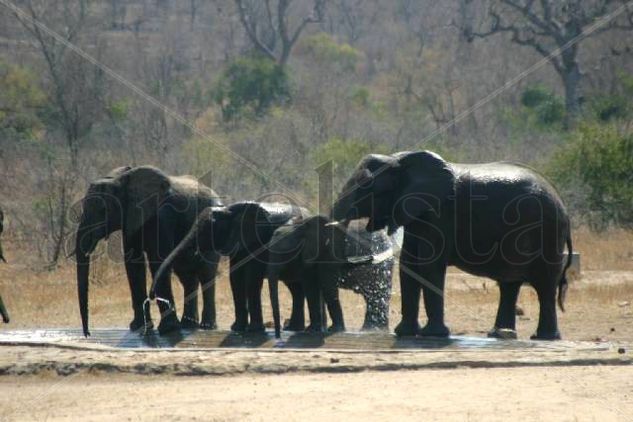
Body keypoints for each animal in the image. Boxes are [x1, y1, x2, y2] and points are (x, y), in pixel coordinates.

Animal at [75, 166, 222, 336]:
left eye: (102, 210)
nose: (87, 333)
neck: (121, 180)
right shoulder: (130, 219)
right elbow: (133, 264)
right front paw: (139, 327)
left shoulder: (163, 217)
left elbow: (157, 260)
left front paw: (168, 329)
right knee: (187, 276)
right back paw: (188, 325)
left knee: (206, 272)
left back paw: (207, 326)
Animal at [149, 201, 304, 332]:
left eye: (208, 229)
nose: (151, 296)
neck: (229, 210)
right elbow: (235, 277)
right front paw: (237, 329)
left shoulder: (258, 241)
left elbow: (252, 277)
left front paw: (254, 331)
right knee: (295, 288)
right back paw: (293, 328)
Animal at [266, 216, 396, 338]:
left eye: (284, 254)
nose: (278, 336)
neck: (300, 228)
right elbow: (310, 288)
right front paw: (313, 330)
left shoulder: (329, 255)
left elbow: (326, 287)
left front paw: (334, 330)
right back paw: (371, 330)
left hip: (381, 266)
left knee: (376, 293)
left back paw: (372, 330)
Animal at [330, 150, 572, 342]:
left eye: (366, 185)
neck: (400, 159)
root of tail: (563, 204)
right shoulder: (416, 214)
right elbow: (409, 266)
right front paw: (405, 333)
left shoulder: (440, 213)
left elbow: (429, 266)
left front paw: (433, 335)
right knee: (509, 283)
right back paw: (499, 334)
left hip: (548, 232)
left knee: (545, 284)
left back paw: (543, 337)